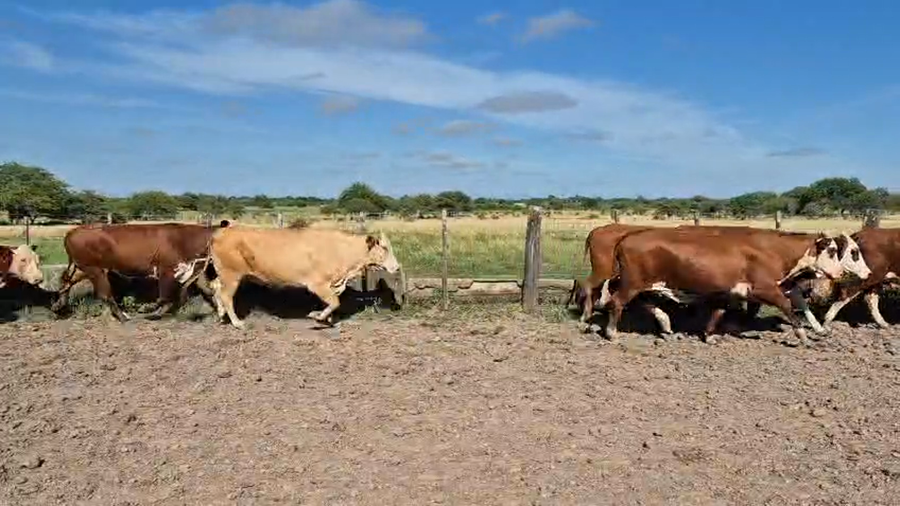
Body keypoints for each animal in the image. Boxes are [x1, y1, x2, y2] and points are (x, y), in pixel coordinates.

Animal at [51, 221, 230, 321]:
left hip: (82, 268)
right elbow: (166, 297)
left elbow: (207, 291)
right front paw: (151, 312)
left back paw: (59, 306)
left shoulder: (195, 269)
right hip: (95, 269)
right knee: (105, 294)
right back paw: (123, 317)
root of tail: (72, 231)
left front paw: (221, 313)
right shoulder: (167, 270)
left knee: (66, 281)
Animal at [206, 226, 401, 329]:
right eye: (384, 248)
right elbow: (334, 302)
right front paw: (317, 317)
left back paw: (221, 315)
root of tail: (221, 232)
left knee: (216, 288)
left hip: (224, 275)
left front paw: (327, 319)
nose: (397, 267)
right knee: (226, 295)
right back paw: (237, 322)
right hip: (231, 274)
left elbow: (331, 302)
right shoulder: (318, 284)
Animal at [602, 227, 871, 345]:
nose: (839, 273)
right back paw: (612, 333)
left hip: (643, 284)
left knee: (639, 302)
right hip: (633, 283)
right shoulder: (765, 289)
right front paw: (803, 336)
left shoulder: (730, 291)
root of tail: (626, 237)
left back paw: (666, 324)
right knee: (617, 302)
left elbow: (719, 311)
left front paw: (710, 335)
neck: (772, 251)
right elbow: (788, 307)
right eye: (834, 251)